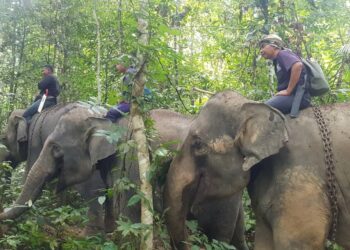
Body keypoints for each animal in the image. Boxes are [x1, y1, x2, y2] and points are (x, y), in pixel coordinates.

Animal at [1, 106, 250, 249]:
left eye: (56, 149)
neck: (106, 118)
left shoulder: (132, 158)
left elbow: (129, 204)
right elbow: (110, 197)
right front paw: (108, 237)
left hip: (219, 185)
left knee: (216, 232)